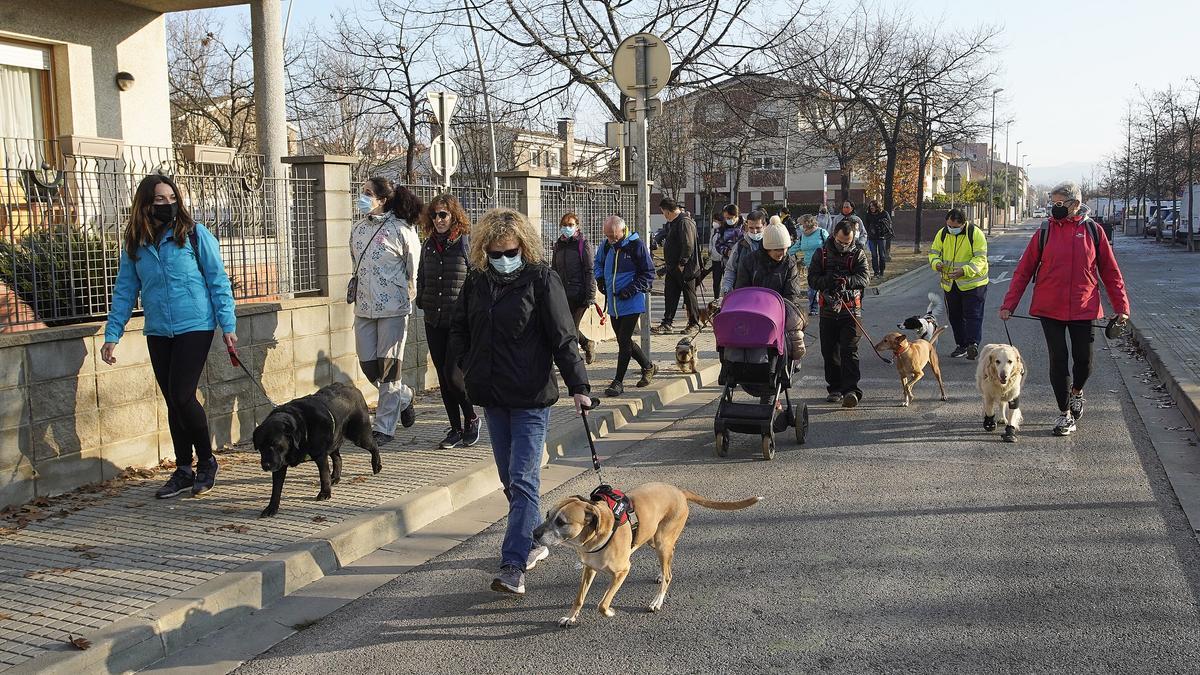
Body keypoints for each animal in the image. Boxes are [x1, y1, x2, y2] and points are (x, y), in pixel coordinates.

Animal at [253, 381, 379, 516]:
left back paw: (376, 465)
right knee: (338, 458)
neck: (302, 429)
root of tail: (352, 387)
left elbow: (323, 476)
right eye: (260, 447)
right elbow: (276, 489)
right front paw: (271, 507)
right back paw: (335, 477)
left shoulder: (320, 456)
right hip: (334, 441)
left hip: (359, 435)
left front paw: (325, 493)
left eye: (276, 444)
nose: (266, 465)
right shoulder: (280, 464)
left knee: (374, 446)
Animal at [535, 480, 758, 624]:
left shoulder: (622, 571)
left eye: (561, 522)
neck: (595, 535)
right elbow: (579, 597)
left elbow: (602, 603)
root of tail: (679, 491)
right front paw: (571, 616)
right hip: (653, 538)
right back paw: (660, 574)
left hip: (661, 542)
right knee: (669, 558)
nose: (534, 534)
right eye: (547, 515)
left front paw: (609, 612)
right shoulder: (589, 568)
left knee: (669, 574)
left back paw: (657, 600)